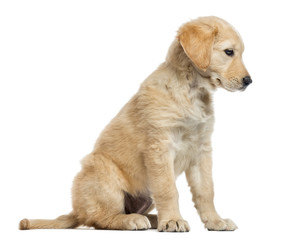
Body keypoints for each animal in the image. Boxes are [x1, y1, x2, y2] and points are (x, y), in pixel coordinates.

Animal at [18, 15, 252, 232]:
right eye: (229, 52)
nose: (249, 81)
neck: (191, 90)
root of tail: (76, 211)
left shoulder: (201, 148)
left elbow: (206, 190)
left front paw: (215, 221)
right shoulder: (160, 147)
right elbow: (168, 189)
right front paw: (173, 220)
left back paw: (152, 219)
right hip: (102, 170)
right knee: (99, 219)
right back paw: (131, 220)